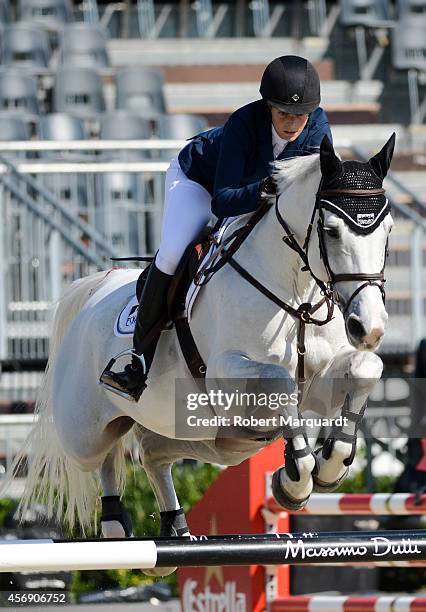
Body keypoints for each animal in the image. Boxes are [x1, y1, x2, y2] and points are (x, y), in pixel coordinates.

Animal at [5, 135, 394, 564]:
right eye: (331, 230)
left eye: (388, 231)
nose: (369, 326)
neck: (297, 295)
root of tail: (92, 291)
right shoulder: (229, 378)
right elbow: (278, 380)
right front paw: (295, 478)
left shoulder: (323, 379)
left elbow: (365, 368)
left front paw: (330, 465)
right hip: (85, 432)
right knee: (105, 452)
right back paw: (115, 522)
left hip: (206, 437)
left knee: (152, 454)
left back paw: (173, 527)